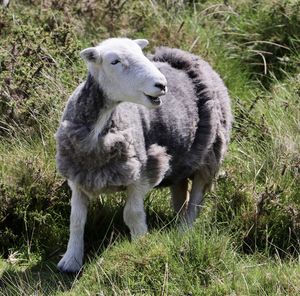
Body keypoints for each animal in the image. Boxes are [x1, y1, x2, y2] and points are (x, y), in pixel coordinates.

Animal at [55, 37, 232, 272]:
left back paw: (184, 231)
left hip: (210, 154)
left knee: (196, 199)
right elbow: (76, 219)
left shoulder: (143, 170)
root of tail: (187, 55)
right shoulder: (77, 176)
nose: (161, 85)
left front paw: (140, 248)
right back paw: (176, 223)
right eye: (114, 61)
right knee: (180, 191)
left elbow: (132, 214)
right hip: (181, 159)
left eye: (141, 54)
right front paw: (71, 260)